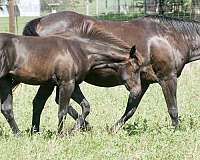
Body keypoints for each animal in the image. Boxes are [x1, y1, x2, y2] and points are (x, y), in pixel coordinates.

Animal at [0, 32, 142, 134]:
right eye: (136, 69)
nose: (138, 91)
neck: (78, 51)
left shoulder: (74, 84)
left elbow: (86, 106)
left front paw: (74, 130)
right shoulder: (66, 84)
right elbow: (62, 111)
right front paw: (60, 134)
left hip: (6, 82)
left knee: (7, 109)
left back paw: (19, 134)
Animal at [22, 11, 200, 133]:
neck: (170, 37)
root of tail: (40, 21)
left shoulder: (143, 83)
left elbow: (130, 109)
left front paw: (113, 130)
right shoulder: (167, 78)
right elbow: (173, 109)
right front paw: (176, 131)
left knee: (40, 102)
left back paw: (37, 131)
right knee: (49, 102)